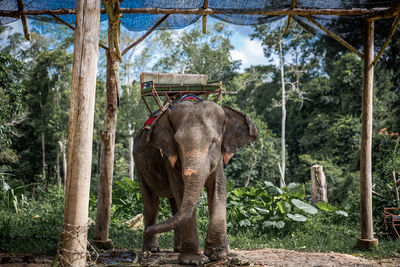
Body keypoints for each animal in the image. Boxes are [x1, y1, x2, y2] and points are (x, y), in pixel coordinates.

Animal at [133, 100, 258, 266]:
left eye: (213, 141)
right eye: (177, 143)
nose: (149, 229)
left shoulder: (218, 159)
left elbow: (218, 190)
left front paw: (217, 254)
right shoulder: (169, 157)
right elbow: (181, 191)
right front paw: (192, 260)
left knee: (175, 206)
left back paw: (176, 248)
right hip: (139, 169)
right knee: (151, 204)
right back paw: (152, 249)